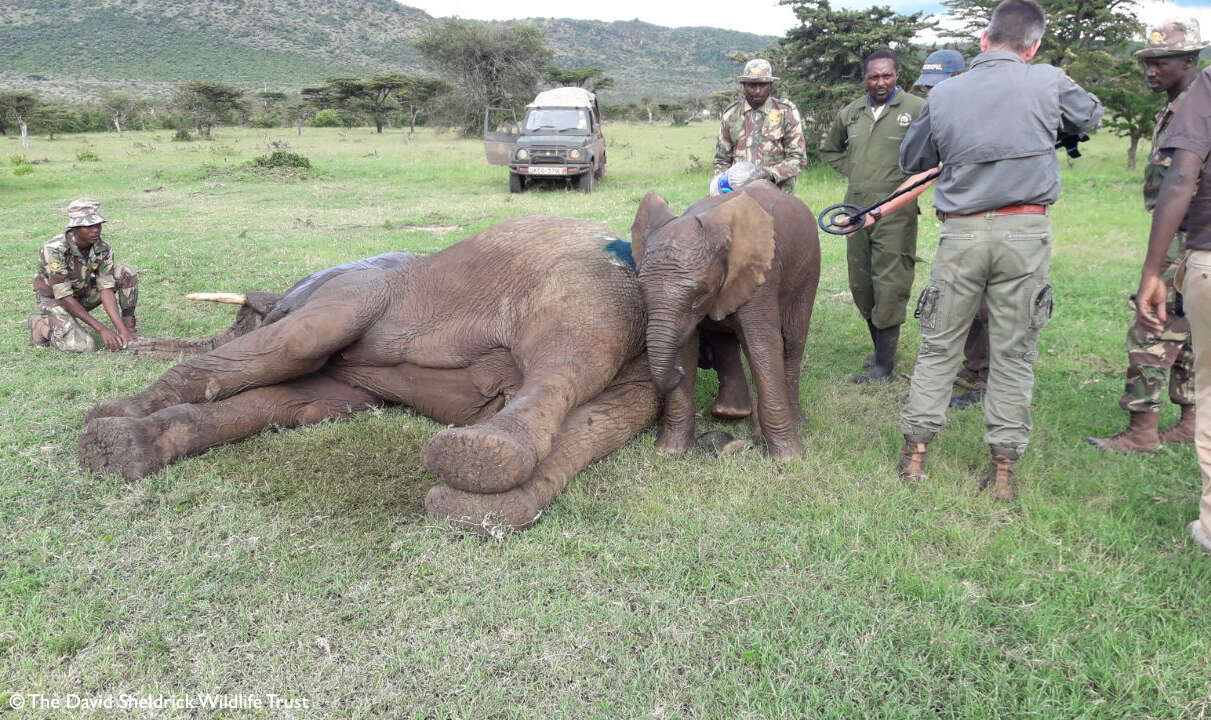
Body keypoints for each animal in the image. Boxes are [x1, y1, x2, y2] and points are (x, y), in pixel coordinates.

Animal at [81, 217, 663, 534]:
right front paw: (118, 444)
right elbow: (289, 398)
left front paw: (106, 419)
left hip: (591, 294)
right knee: (595, 422)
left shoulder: (353, 293)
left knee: (568, 365)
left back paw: (476, 458)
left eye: (245, 319)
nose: (128, 348)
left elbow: (293, 347)